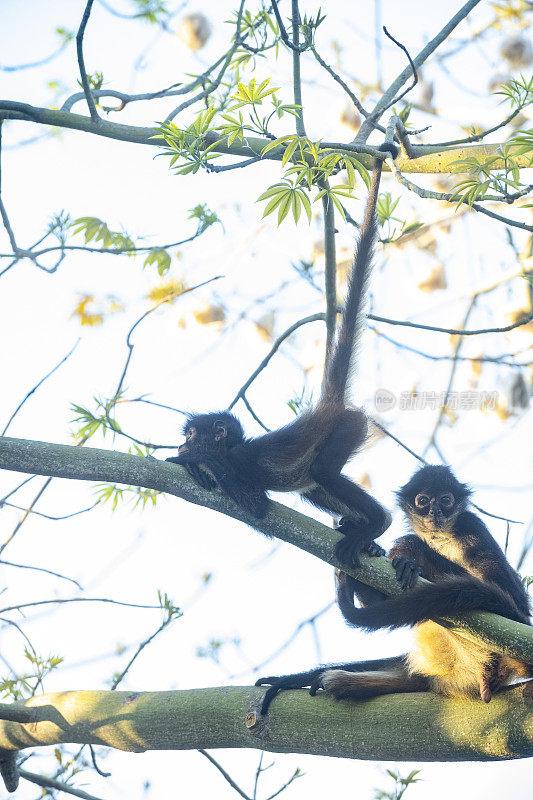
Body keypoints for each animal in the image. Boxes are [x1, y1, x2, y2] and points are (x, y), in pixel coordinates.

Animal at [164, 144, 396, 568]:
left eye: (191, 433)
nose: (183, 443)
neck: (232, 448)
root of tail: (328, 407)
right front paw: (195, 468)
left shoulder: (241, 460)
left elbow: (256, 506)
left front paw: (191, 461)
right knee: (314, 487)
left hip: (348, 428)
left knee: (323, 471)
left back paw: (376, 524)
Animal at [256, 462, 528, 712]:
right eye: (423, 501)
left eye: (446, 499)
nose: (435, 511)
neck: (439, 536)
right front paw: (370, 545)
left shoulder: (471, 526)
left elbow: (518, 606)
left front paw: (409, 562)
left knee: (409, 542)